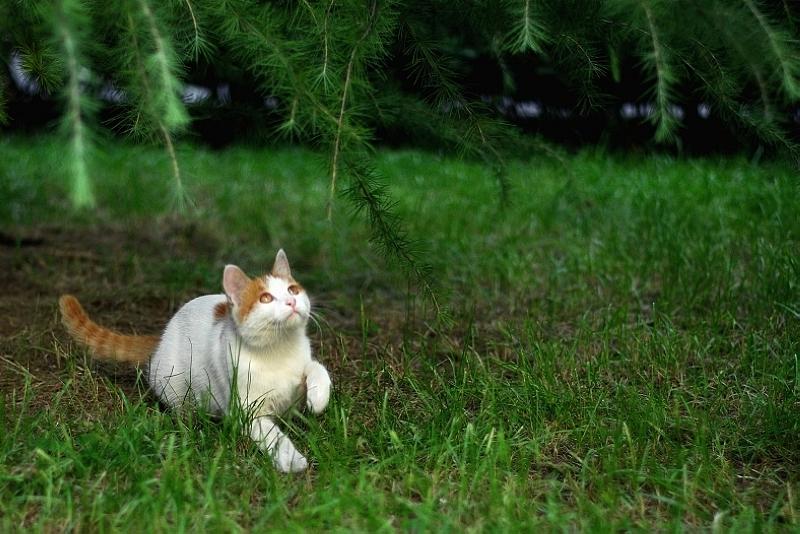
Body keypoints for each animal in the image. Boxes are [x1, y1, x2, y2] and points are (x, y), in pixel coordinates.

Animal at [57, 249, 330, 476]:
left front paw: (318, 396)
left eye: (293, 290)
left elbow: (316, 368)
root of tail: (161, 338)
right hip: (173, 382)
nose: (292, 302)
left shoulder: (297, 384)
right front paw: (290, 458)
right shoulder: (248, 411)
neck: (278, 349)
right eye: (265, 298)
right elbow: (272, 433)